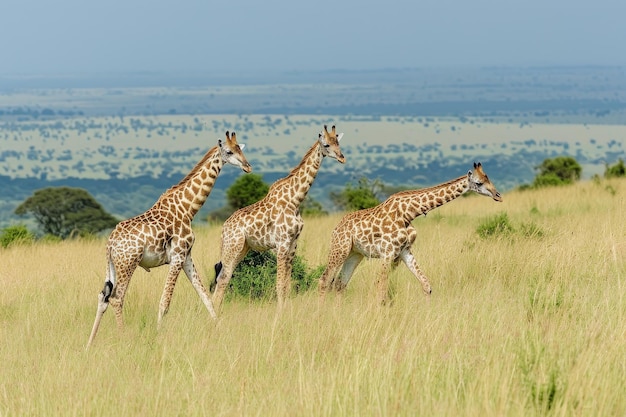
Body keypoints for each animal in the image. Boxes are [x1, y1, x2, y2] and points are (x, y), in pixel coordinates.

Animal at [86, 132, 251, 346]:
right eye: (229, 151)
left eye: (241, 149)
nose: (247, 166)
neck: (188, 209)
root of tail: (110, 244)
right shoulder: (178, 256)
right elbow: (165, 302)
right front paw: (157, 335)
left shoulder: (187, 256)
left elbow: (205, 295)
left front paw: (219, 328)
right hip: (128, 264)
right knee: (116, 298)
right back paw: (123, 338)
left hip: (113, 266)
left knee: (102, 298)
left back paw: (89, 343)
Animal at [211, 123, 346, 312]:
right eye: (326, 144)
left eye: (338, 143)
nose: (342, 158)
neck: (295, 200)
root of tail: (224, 229)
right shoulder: (281, 244)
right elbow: (279, 283)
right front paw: (279, 314)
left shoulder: (293, 244)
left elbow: (287, 284)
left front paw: (286, 312)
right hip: (233, 247)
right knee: (222, 278)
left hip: (242, 248)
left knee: (224, 277)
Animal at [320, 162, 500, 302]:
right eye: (478, 183)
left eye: (488, 178)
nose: (498, 195)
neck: (409, 213)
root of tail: (336, 229)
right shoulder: (388, 252)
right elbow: (381, 291)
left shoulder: (404, 250)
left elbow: (426, 285)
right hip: (340, 249)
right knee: (324, 280)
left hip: (355, 254)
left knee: (340, 284)